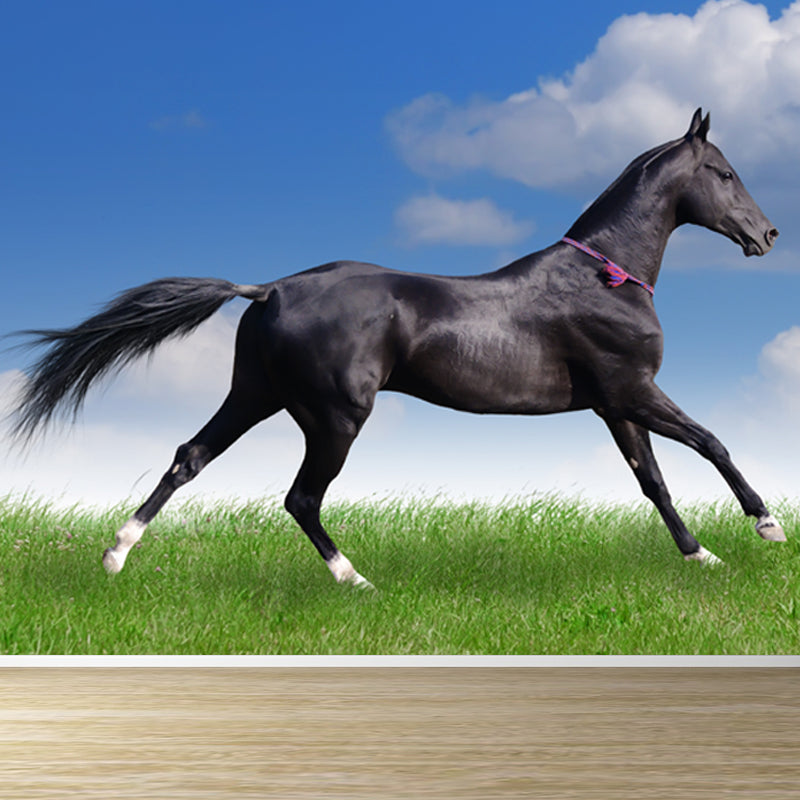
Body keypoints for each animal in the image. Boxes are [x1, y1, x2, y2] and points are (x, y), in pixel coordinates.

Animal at [11, 108, 785, 588]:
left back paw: (115, 555)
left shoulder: (614, 405)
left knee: (188, 458)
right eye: (723, 173)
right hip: (335, 416)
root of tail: (268, 290)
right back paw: (355, 579)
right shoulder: (633, 390)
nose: (767, 234)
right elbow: (711, 443)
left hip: (255, 396)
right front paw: (767, 525)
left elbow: (652, 482)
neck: (605, 276)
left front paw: (702, 556)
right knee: (300, 498)